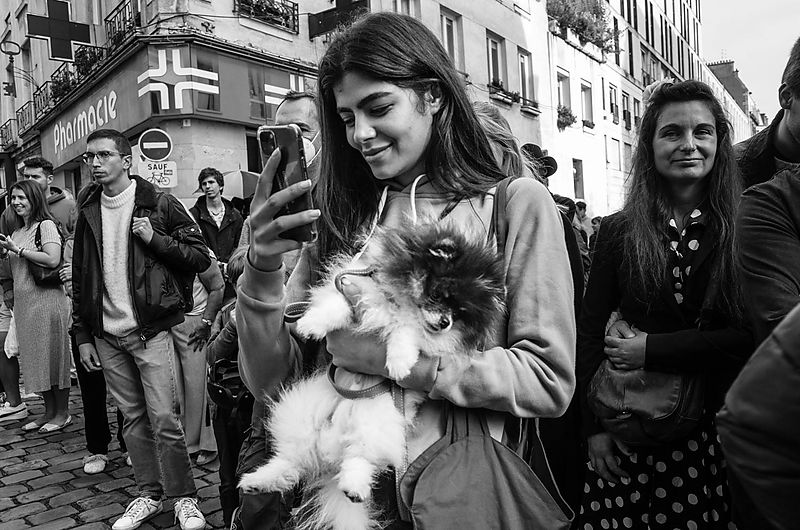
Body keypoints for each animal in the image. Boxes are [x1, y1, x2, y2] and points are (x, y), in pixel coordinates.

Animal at [238, 220, 506, 530]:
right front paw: (310, 325)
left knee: (359, 458)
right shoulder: (352, 292)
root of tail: (328, 458)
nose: (444, 322)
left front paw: (400, 362)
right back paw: (256, 481)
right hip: (301, 415)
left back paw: (353, 487)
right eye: (438, 295)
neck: (401, 302)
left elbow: (406, 332)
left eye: (459, 312)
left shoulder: (420, 336)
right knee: (292, 464)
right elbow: (335, 307)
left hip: (375, 421)